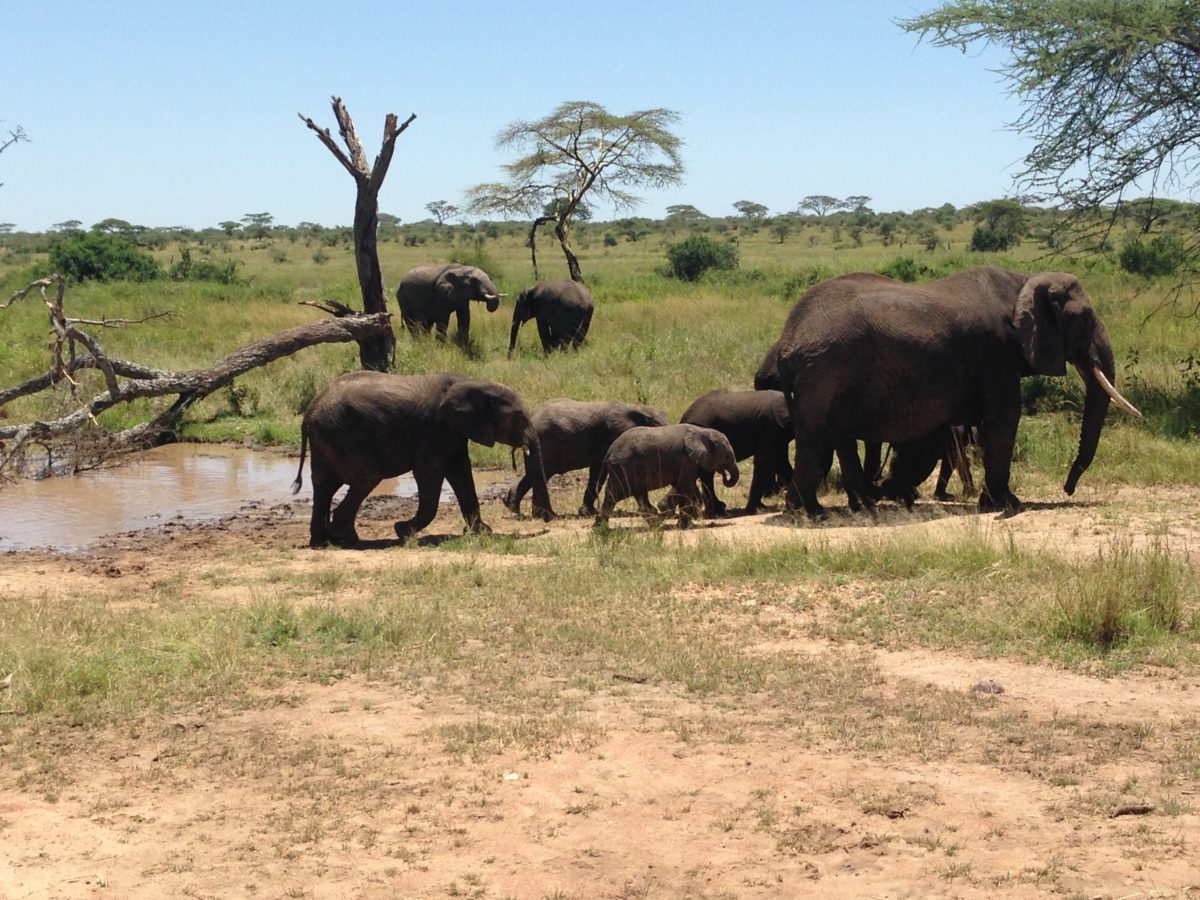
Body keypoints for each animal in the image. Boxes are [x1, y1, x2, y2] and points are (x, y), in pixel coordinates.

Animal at [290, 369, 552, 547]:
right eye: (518, 418)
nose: (546, 520)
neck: (471, 382)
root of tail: (309, 412)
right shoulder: (435, 429)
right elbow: (430, 474)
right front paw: (402, 531)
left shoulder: (453, 432)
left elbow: (461, 473)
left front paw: (482, 531)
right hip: (341, 434)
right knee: (366, 478)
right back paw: (349, 539)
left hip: (327, 437)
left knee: (324, 485)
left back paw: (323, 541)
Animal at [501, 400, 672, 518]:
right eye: (657, 425)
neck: (639, 408)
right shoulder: (615, 433)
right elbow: (601, 471)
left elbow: (598, 470)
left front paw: (587, 512)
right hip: (545, 443)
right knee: (541, 472)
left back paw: (513, 507)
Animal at [592, 427, 734, 532]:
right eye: (727, 457)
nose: (723, 474)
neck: (703, 431)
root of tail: (609, 451)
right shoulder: (686, 461)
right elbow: (686, 488)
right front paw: (685, 527)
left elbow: (683, 488)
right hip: (623, 469)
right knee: (615, 495)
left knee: (635, 497)